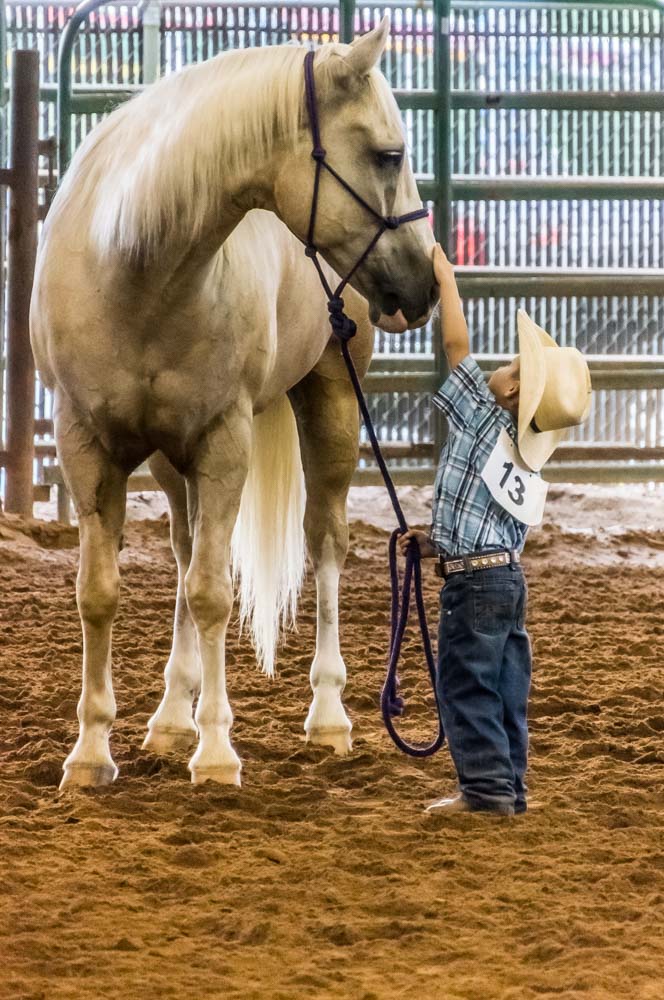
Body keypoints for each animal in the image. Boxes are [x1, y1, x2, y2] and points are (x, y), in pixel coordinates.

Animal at [29, 19, 436, 788]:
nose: (426, 282)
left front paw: (216, 752)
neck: (136, 271)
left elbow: (214, 593)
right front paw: (91, 753)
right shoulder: (85, 445)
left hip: (332, 406)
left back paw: (327, 716)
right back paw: (167, 720)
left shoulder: (223, 442)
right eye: (389, 154)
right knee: (189, 552)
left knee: (323, 542)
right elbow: (101, 592)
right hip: (170, 461)